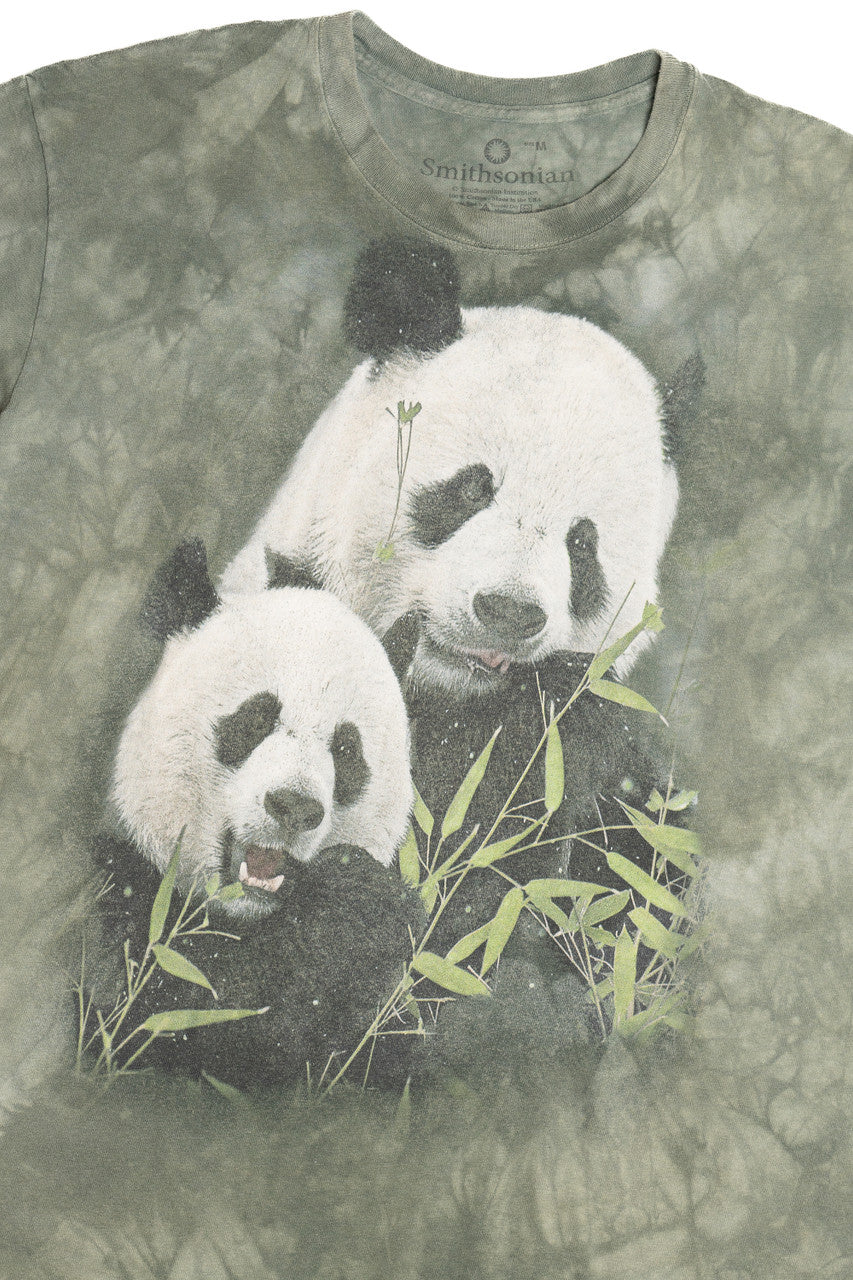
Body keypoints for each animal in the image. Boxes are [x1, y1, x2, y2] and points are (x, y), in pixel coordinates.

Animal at [90, 540, 423, 1088]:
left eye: (346, 749)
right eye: (256, 719)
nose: (294, 807)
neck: (241, 917)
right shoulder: (110, 881)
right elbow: (172, 1016)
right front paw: (353, 910)